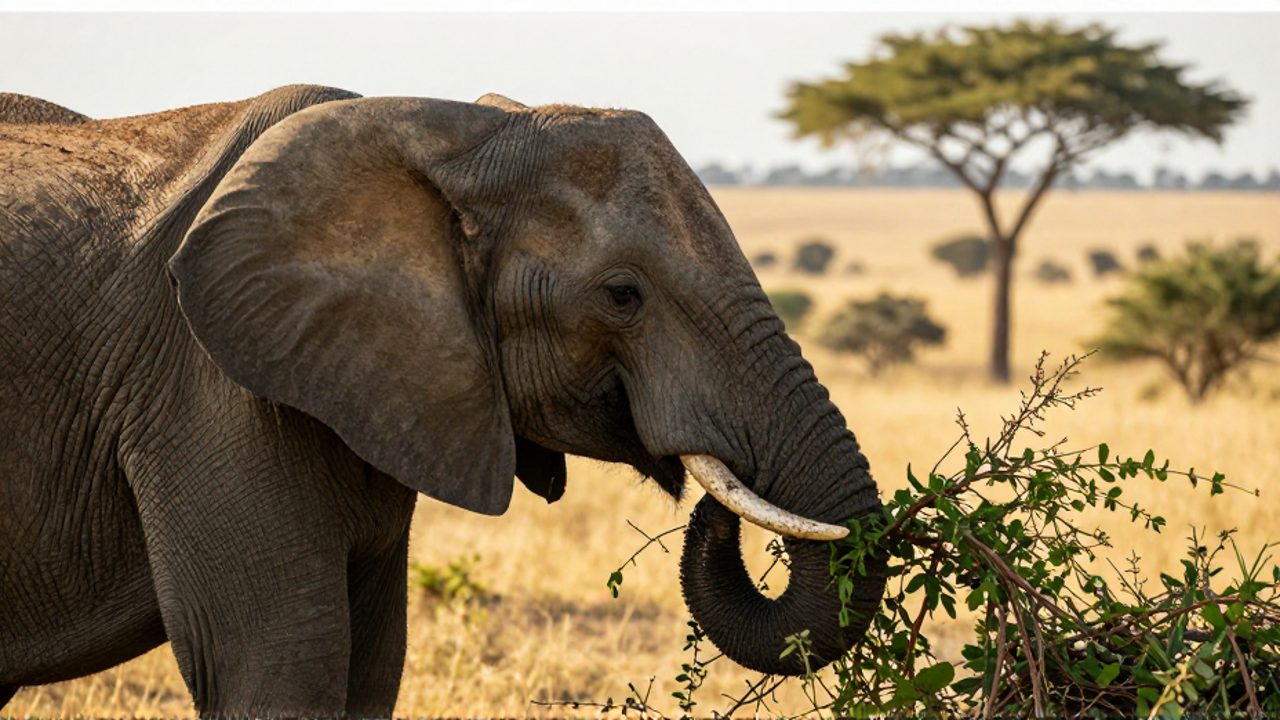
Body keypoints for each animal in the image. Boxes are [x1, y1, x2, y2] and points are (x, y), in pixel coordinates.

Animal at [0, 85, 887, 716]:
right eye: (622, 295)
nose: (718, 505)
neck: (453, 132)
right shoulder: (210, 390)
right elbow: (277, 667)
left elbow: (371, 670)